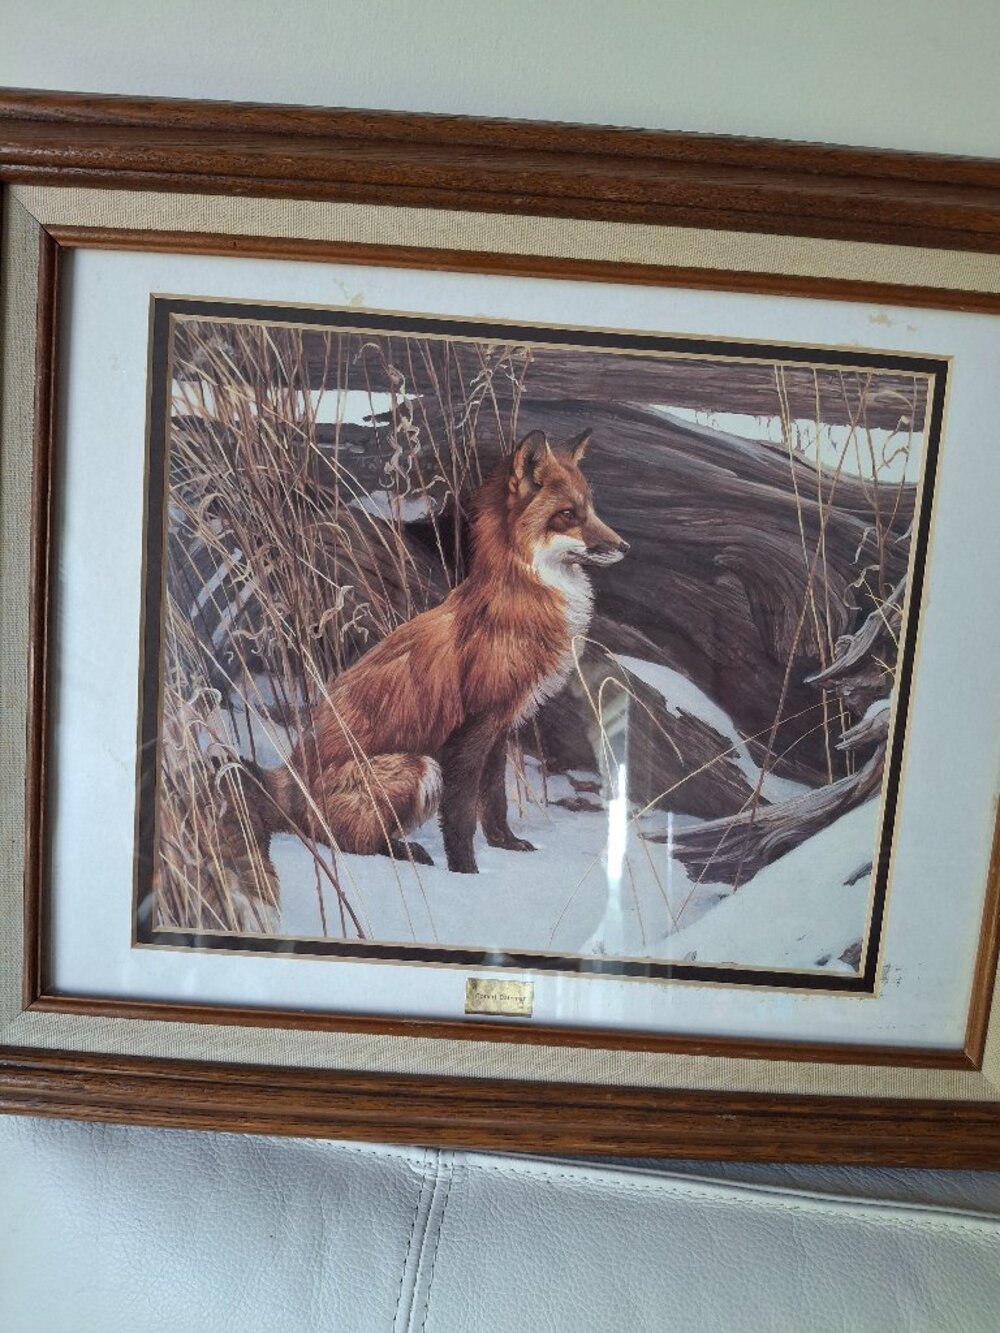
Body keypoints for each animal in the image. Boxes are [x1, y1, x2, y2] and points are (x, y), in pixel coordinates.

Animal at [253, 428, 628, 874]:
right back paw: (408, 852)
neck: (519, 606)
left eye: (591, 510)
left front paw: (505, 845)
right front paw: (466, 872)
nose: (625, 546)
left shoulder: (500, 727)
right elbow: (461, 814)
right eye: (568, 515)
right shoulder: (469, 732)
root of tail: (288, 784)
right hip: (418, 766)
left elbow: (494, 801)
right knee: (347, 842)